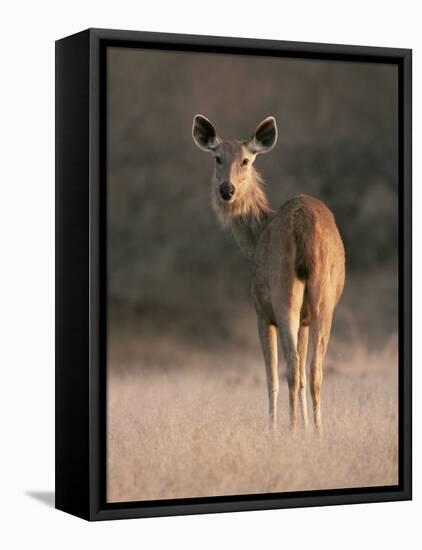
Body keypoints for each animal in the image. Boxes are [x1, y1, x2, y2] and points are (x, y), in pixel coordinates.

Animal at [193, 115, 344, 436]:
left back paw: (290, 430)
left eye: (246, 160)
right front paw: (305, 427)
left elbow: (270, 376)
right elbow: (303, 373)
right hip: (323, 297)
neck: (256, 235)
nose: (226, 190)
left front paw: (273, 429)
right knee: (314, 369)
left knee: (291, 368)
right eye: (217, 157)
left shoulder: (261, 312)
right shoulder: (305, 320)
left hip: (282, 291)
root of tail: (304, 224)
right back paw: (317, 431)